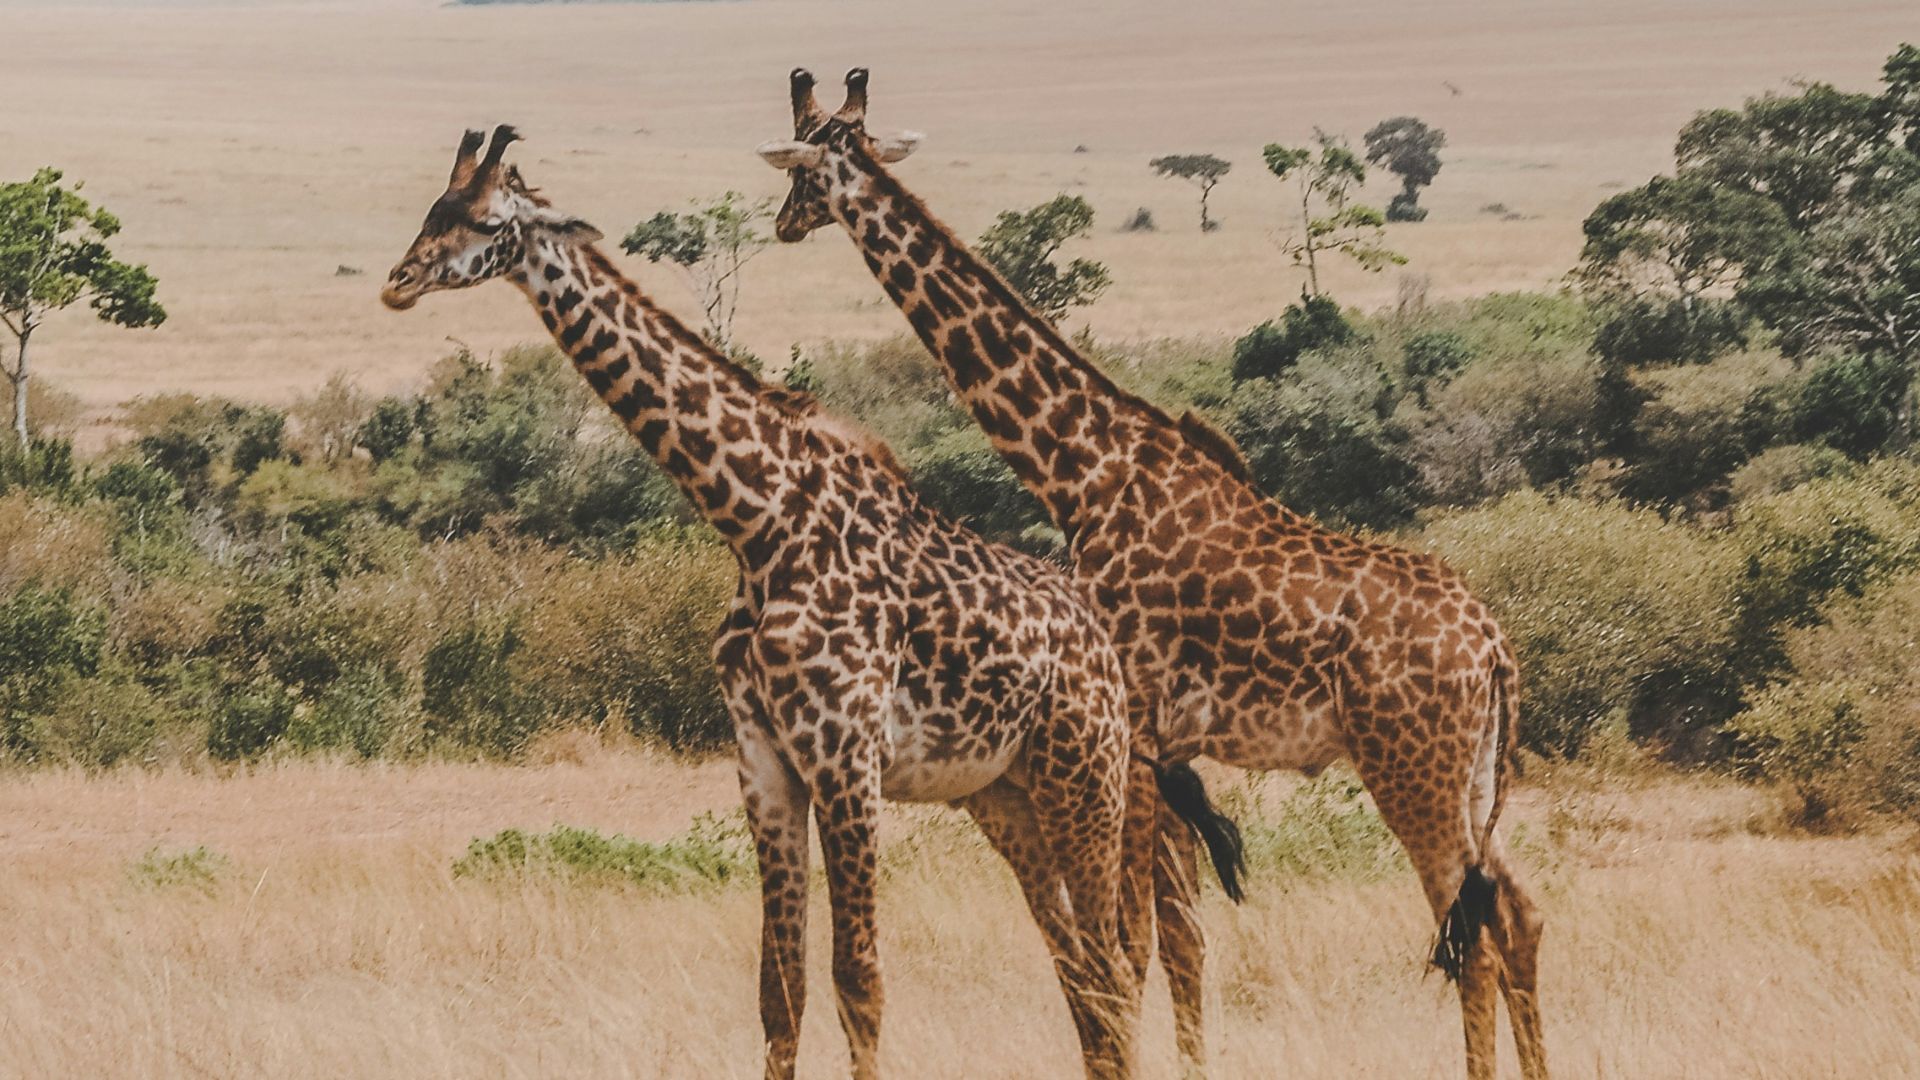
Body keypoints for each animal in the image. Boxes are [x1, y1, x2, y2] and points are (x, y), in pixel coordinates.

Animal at [381, 125, 1147, 1080]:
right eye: (431, 210)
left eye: (486, 220)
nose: (398, 281)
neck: (759, 522)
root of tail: (1104, 647)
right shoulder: (765, 762)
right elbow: (779, 991)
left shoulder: (847, 758)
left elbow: (860, 978)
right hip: (1007, 794)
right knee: (1081, 971)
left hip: (1085, 774)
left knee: (1113, 968)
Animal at [757, 70, 1550, 1080]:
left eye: (804, 167)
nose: (782, 223)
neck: (1082, 469)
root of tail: (1495, 653)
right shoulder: (1167, 749)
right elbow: (1179, 940)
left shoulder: (1129, 730)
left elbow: (1130, 947)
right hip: (1472, 778)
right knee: (1519, 914)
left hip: (1414, 771)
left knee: (1470, 935)